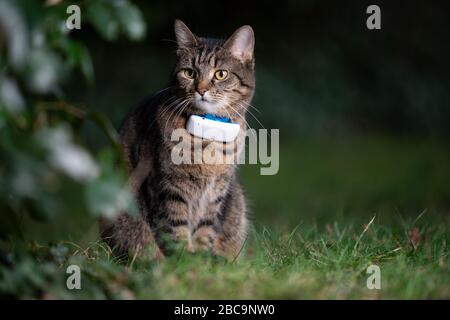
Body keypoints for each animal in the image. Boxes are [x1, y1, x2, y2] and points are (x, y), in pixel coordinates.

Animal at [101, 19, 256, 260]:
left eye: (220, 74)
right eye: (189, 73)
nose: (201, 89)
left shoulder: (217, 191)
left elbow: (205, 228)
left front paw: (200, 259)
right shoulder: (167, 186)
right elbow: (175, 228)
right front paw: (184, 261)